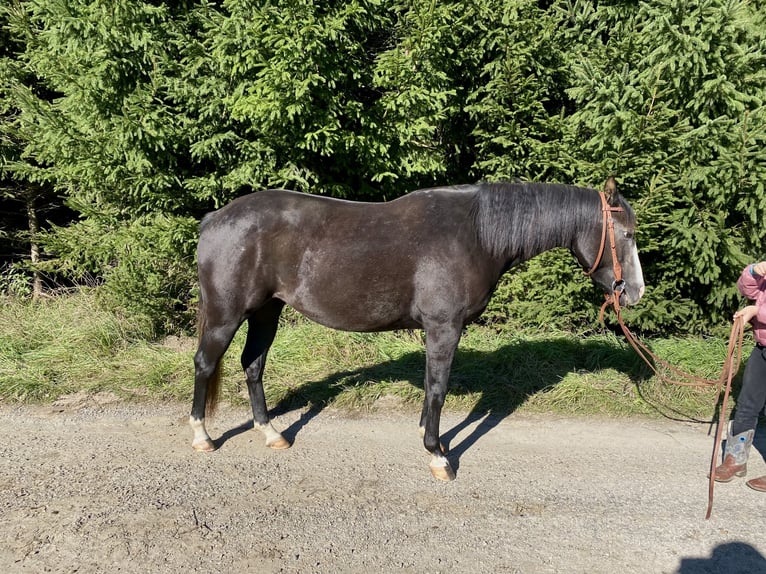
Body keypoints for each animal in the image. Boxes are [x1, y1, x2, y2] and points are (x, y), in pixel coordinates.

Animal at [190, 177, 644, 480]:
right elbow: (438, 388)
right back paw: (202, 437)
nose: (635, 292)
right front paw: (438, 455)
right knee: (205, 364)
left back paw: (271, 433)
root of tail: (214, 219)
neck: (475, 234)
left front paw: (429, 435)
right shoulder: (445, 327)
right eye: (626, 233)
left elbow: (431, 386)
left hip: (266, 312)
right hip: (227, 314)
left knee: (253, 365)